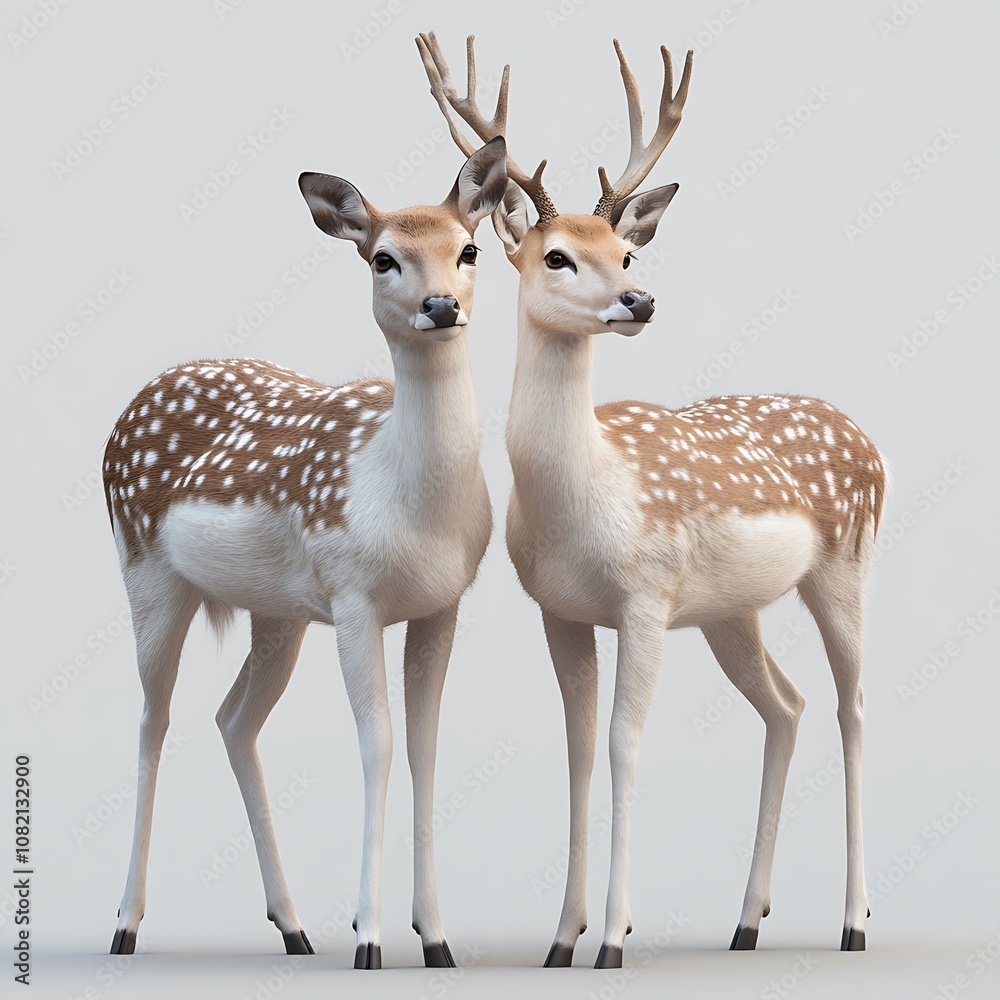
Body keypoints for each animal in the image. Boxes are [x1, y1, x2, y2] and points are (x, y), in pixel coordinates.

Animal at [103, 136, 509, 970]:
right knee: (153, 720)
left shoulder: (443, 604)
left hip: (277, 614)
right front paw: (370, 938)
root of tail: (129, 407)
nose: (441, 306)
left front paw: (436, 939)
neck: (410, 499)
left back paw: (291, 927)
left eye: (469, 248)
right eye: (383, 258)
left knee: (233, 720)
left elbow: (424, 747)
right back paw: (125, 924)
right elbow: (377, 745)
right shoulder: (355, 599)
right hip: (145, 571)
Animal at [418, 33, 885, 967]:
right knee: (787, 705)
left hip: (845, 566)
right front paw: (563, 940)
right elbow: (578, 748)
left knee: (851, 705)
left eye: (626, 253)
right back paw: (746, 923)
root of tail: (866, 437)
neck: (588, 498)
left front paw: (612, 938)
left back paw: (853, 924)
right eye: (557, 255)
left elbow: (625, 746)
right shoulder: (560, 610)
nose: (641, 299)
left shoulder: (644, 596)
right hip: (730, 610)